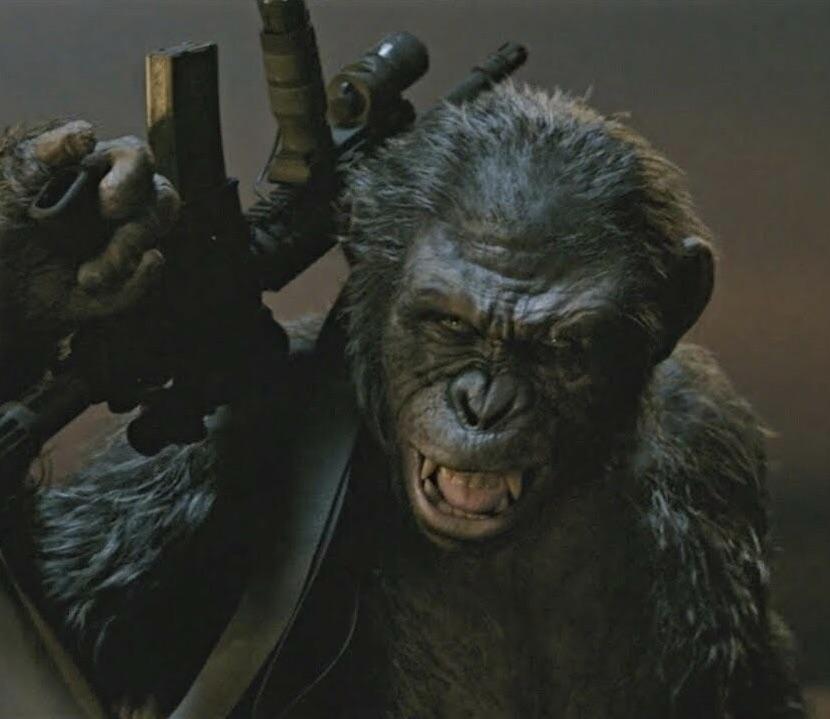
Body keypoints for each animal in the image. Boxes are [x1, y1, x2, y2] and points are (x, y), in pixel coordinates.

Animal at [0, 85, 805, 718]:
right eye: (450, 323)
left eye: (561, 348)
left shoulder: (710, 438)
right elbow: (64, 599)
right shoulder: (222, 445)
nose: (483, 404)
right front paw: (40, 256)